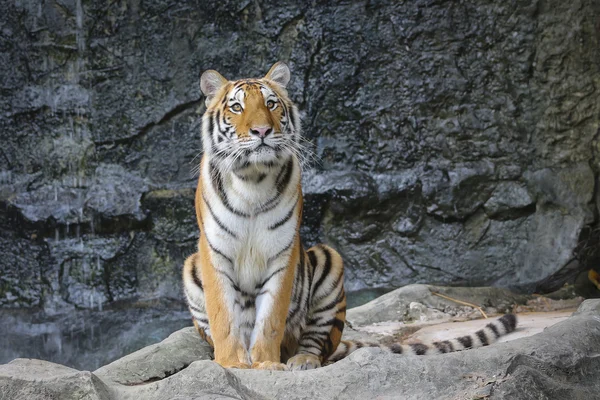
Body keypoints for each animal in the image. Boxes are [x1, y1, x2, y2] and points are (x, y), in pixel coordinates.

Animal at [180, 62, 516, 372]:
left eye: (271, 104)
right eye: (236, 107)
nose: (262, 131)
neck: (253, 177)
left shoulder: (282, 253)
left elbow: (270, 320)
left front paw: (266, 363)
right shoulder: (214, 252)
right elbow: (224, 318)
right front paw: (231, 364)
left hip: (329, 260)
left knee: (316, 343)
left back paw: (300, 360)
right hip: (191, 267)